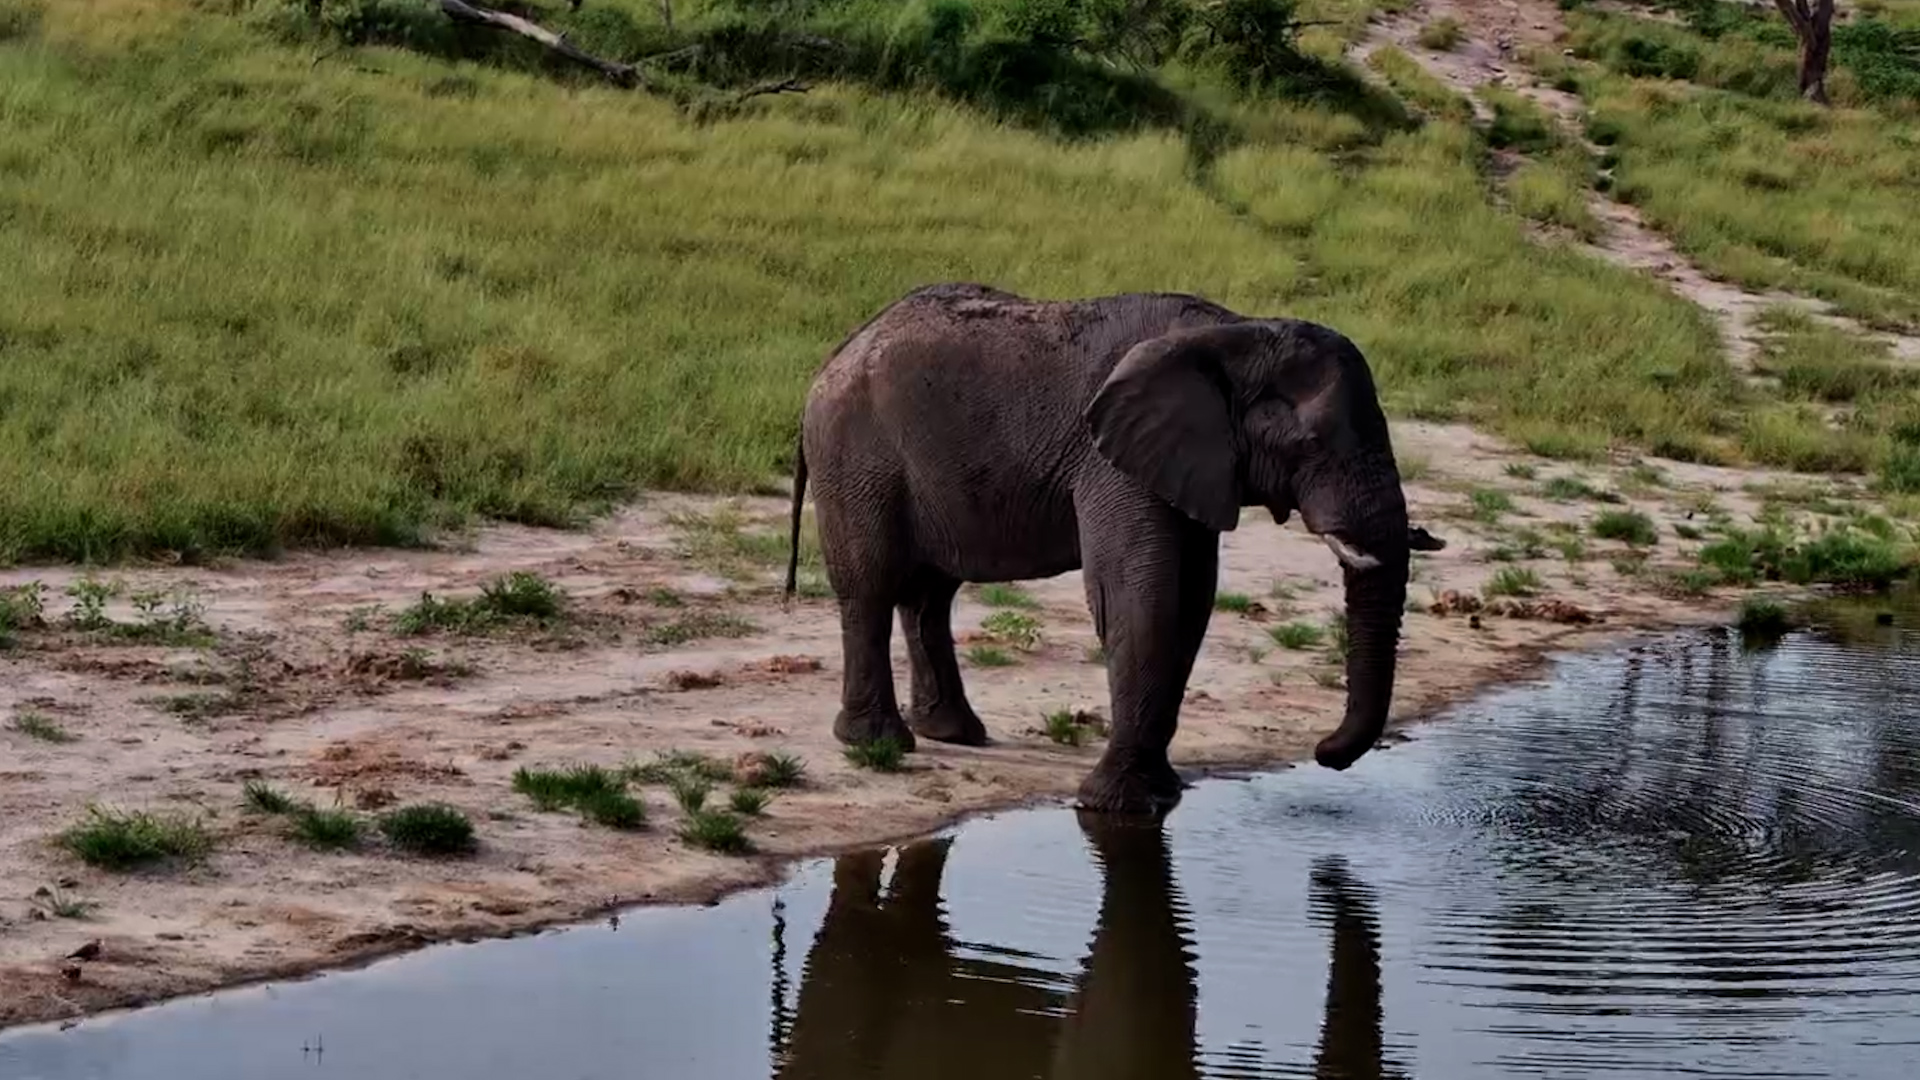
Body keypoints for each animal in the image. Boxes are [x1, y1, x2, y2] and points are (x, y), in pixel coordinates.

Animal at [785, 282, 1444, 813]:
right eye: (1310, 443)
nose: (1325, 752)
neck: (1236, 333)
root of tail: (836, 354)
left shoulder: (1190, 463)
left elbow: (1190, 604)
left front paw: (1161, 798)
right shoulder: (1112, 460)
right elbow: (1139, 596)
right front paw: (1119, 806)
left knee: (928, 595)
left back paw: (954, 734)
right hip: (855, 456)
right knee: (871, 587)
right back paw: (878, 744)